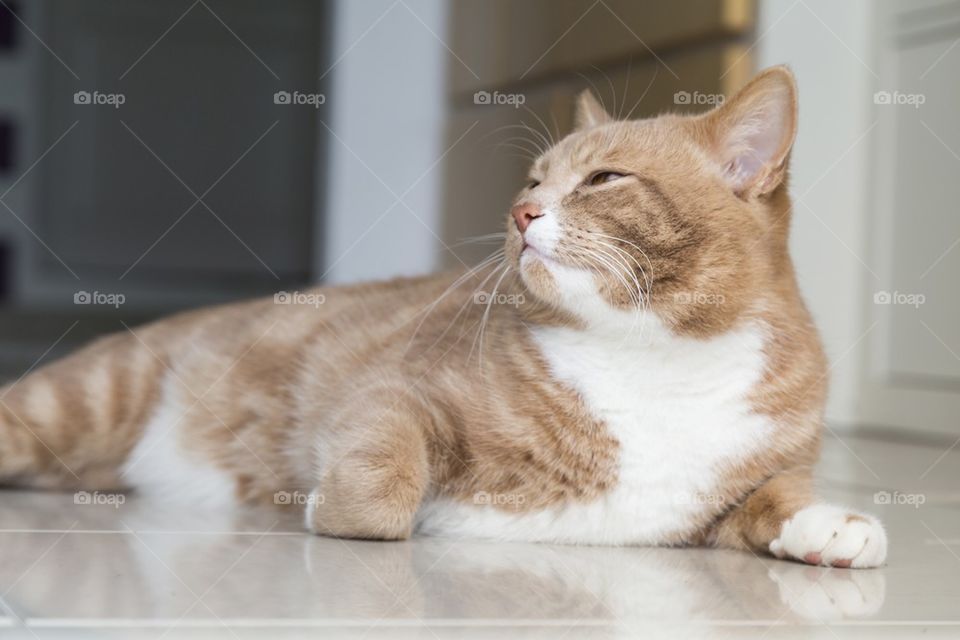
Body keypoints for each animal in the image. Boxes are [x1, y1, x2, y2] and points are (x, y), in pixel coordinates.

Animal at [0, 67, 884, 568]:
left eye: (604, 178)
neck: (652, 356)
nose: (521, 212)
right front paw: (332, 505)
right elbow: (384, 483)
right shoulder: (397, 392)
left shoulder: (741, 485)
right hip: (85, 397)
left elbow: (776, 496)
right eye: (534, 178)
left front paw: (831, 525)